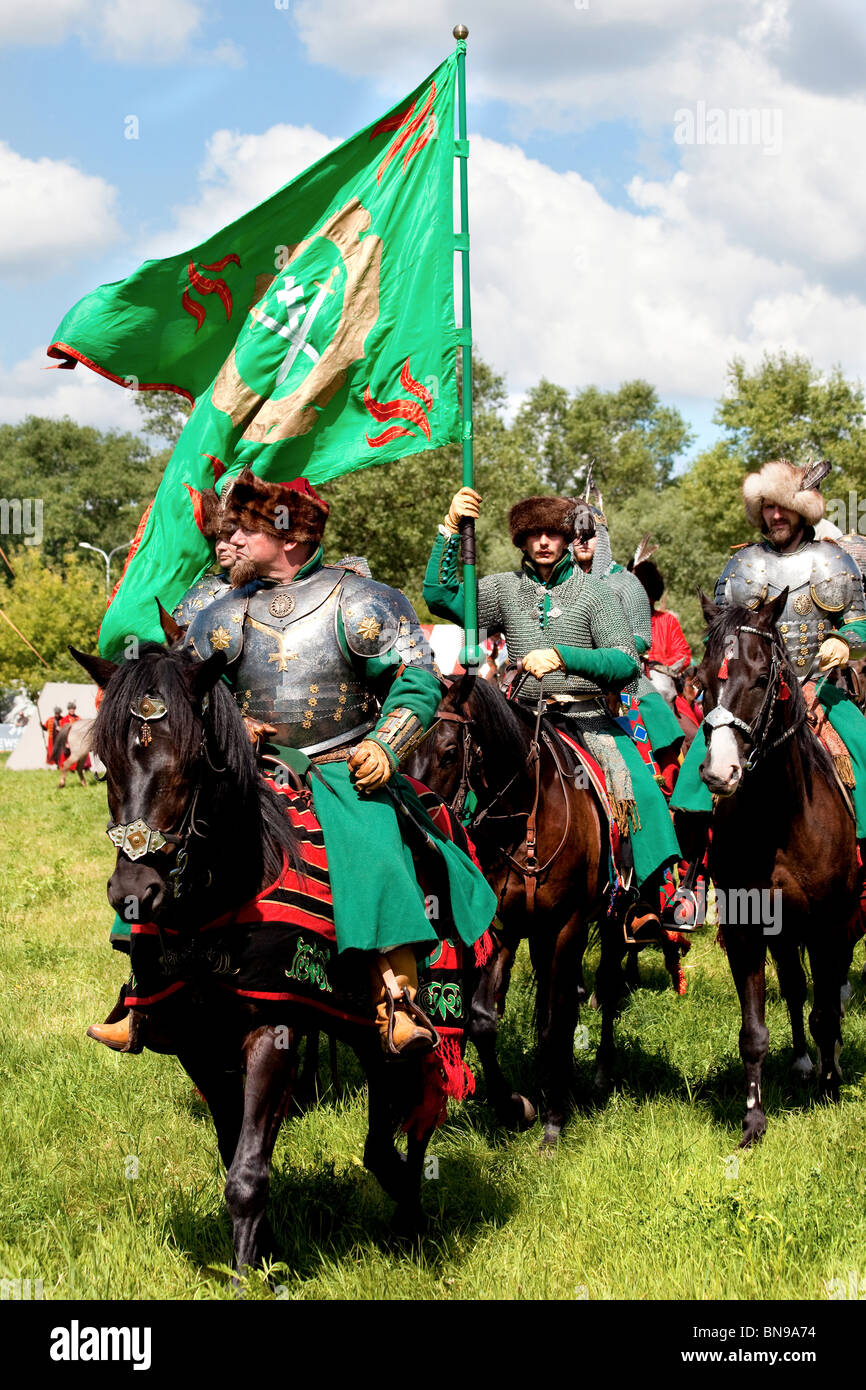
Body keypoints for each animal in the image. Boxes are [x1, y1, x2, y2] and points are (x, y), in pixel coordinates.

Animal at [73, 639, 458, 1273]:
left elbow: (248, 1172)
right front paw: (261, 1251)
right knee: (381, 1132)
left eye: (191, 759)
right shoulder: (198, 1041)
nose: (134, 891)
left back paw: (411, 1220)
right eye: (105, 759)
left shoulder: (273, 1029)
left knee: (415, 1104)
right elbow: (236, 1152)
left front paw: (247, 1275)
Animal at [692, 592, 861, 1145]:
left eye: (762, 676)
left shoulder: (831, 924)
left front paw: (831, 1087)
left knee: (826, 993)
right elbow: (755, 1030)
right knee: (793, 985)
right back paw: (805, 1063)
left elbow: (827, 1010)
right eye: (702, 678)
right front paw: (753, 1120)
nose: (719, 772)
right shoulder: (748, 928)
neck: (780, 817)